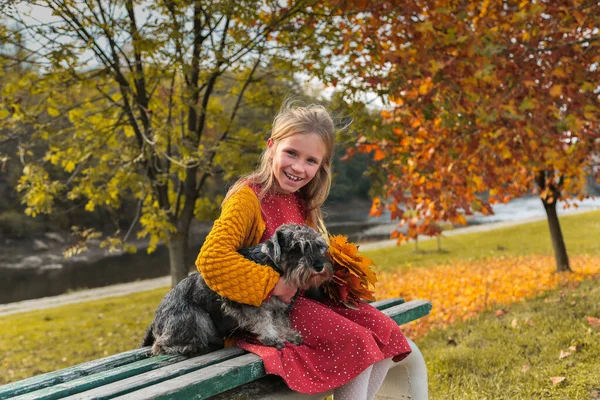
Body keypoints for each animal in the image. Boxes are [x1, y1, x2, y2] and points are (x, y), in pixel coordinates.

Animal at [144, 222, 336, 356]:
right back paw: (188, 348)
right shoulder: (247, 305)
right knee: (158, 345)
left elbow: (280, 322)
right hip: (195, 318)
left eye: (318, 246)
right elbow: (263, 321)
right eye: (296, 248)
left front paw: (288, 335)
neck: (273, 266)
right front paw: (272, 338)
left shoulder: (279, 308)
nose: (320, 266)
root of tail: (155, 318)